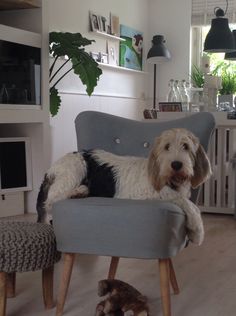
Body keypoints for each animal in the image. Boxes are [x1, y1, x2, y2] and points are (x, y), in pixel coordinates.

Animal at [36, 128, 212, 244]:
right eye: (166, 147)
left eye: (186, 146)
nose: (176, 165)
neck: (170, 181)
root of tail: (51, 169)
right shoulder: (148, 194)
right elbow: (187, 204)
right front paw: (198, 231)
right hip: (76, 168)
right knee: (51, 200)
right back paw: (79, 191)